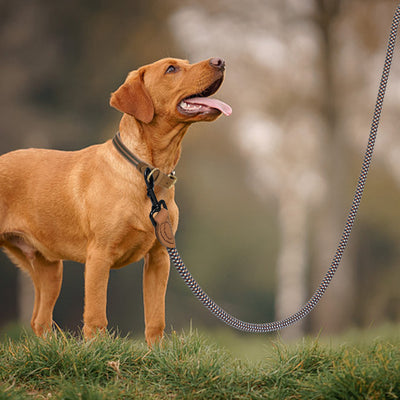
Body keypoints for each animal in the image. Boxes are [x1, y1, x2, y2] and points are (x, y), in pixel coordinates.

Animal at [0, 57, 231, 346]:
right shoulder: (99, 256)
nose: (220, 61)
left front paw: (156, 352)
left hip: (49, 268)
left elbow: (155, 318)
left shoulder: (159, 257)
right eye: (171, 69)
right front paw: (96, 351)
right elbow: (96, 316)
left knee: (39, 321)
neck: (148, 174)